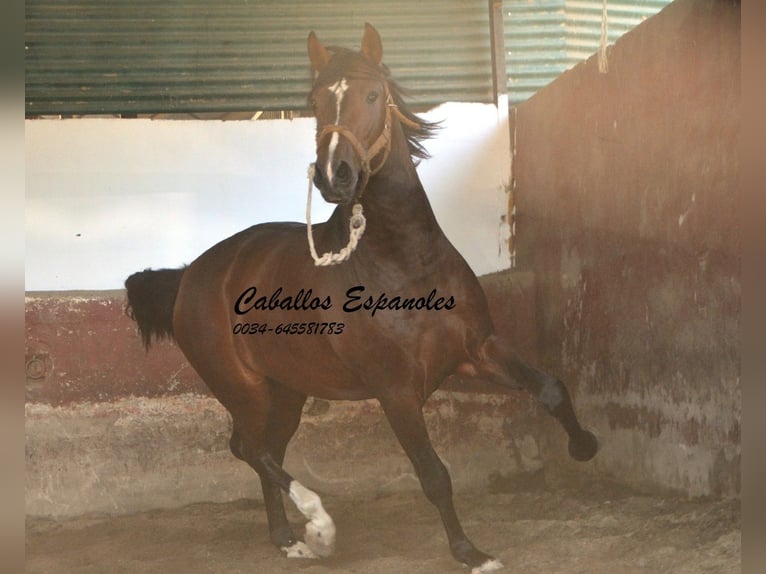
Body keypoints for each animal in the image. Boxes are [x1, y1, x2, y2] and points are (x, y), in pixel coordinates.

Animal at [126, 22, 596, 572]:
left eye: (374, 95)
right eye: (315, 100)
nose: (335, 175)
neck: (406, 264)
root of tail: (191, 275)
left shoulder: (476, 351)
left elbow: (550, 388)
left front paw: (585, 446)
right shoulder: (396, 391)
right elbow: (434, 475)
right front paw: (470, 553)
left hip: (287, 390)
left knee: (266, 452)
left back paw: (287, 538)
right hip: (243, 389)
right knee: (250, 449)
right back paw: (318, 526)